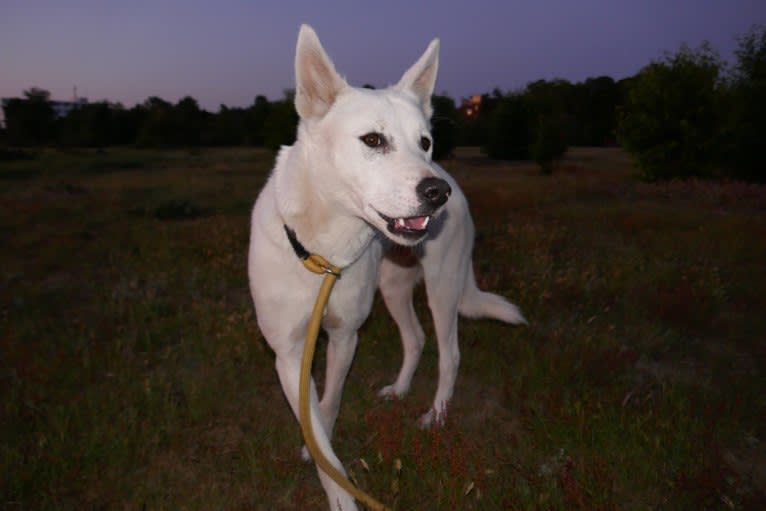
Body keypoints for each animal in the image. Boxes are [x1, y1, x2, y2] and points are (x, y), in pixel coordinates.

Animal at [249, 26, 524, 510]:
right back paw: (399, 391)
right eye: (373, 140)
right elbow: (317, 417)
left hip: (442, 287)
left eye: (425, 142)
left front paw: (335, 484)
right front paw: (320, 456)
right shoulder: (289, 353)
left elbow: (329, 403)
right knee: (415, 339)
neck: (325, 251)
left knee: (449, 354)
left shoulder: (344, 335)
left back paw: (435, 415)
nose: (437, 193)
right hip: (395, 287)